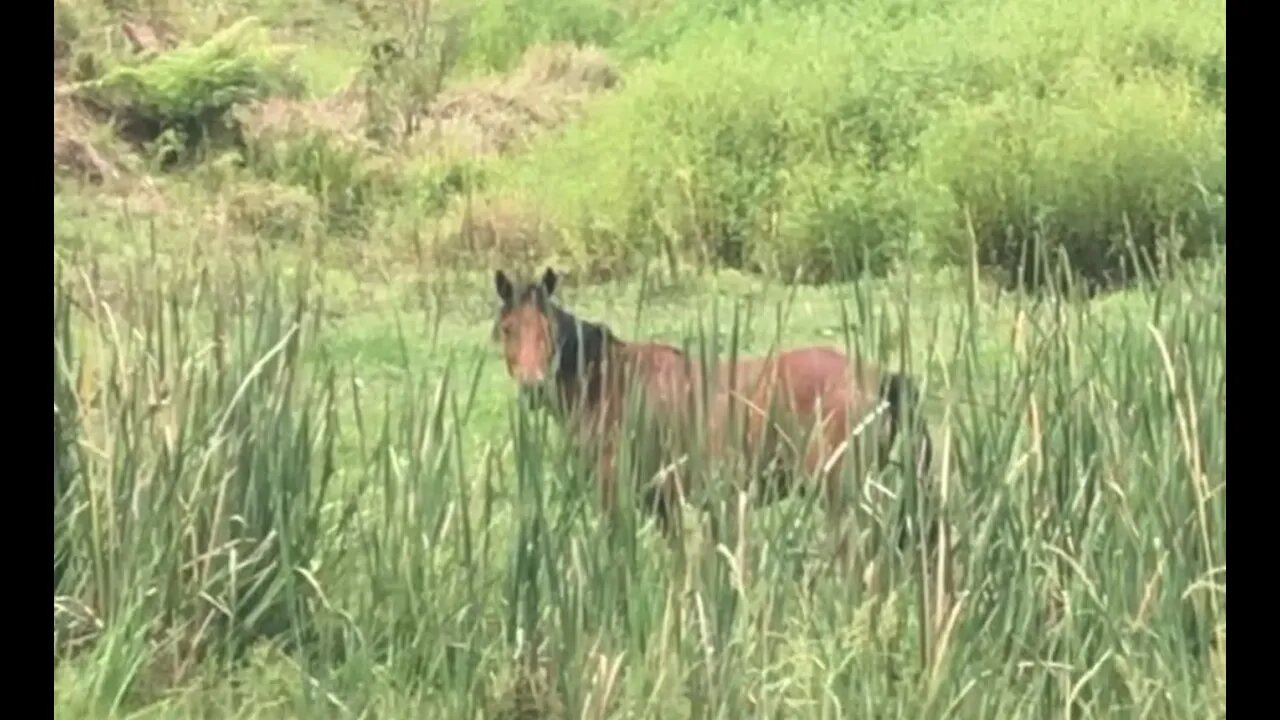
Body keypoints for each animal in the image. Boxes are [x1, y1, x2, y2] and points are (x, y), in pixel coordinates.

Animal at [488, 266, 931, 563]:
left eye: (548, 329)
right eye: (508, 328)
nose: (532, 386)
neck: (614, 382)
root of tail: (879, 378)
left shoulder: (618, 496)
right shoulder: (662, 503)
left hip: (841, 493)